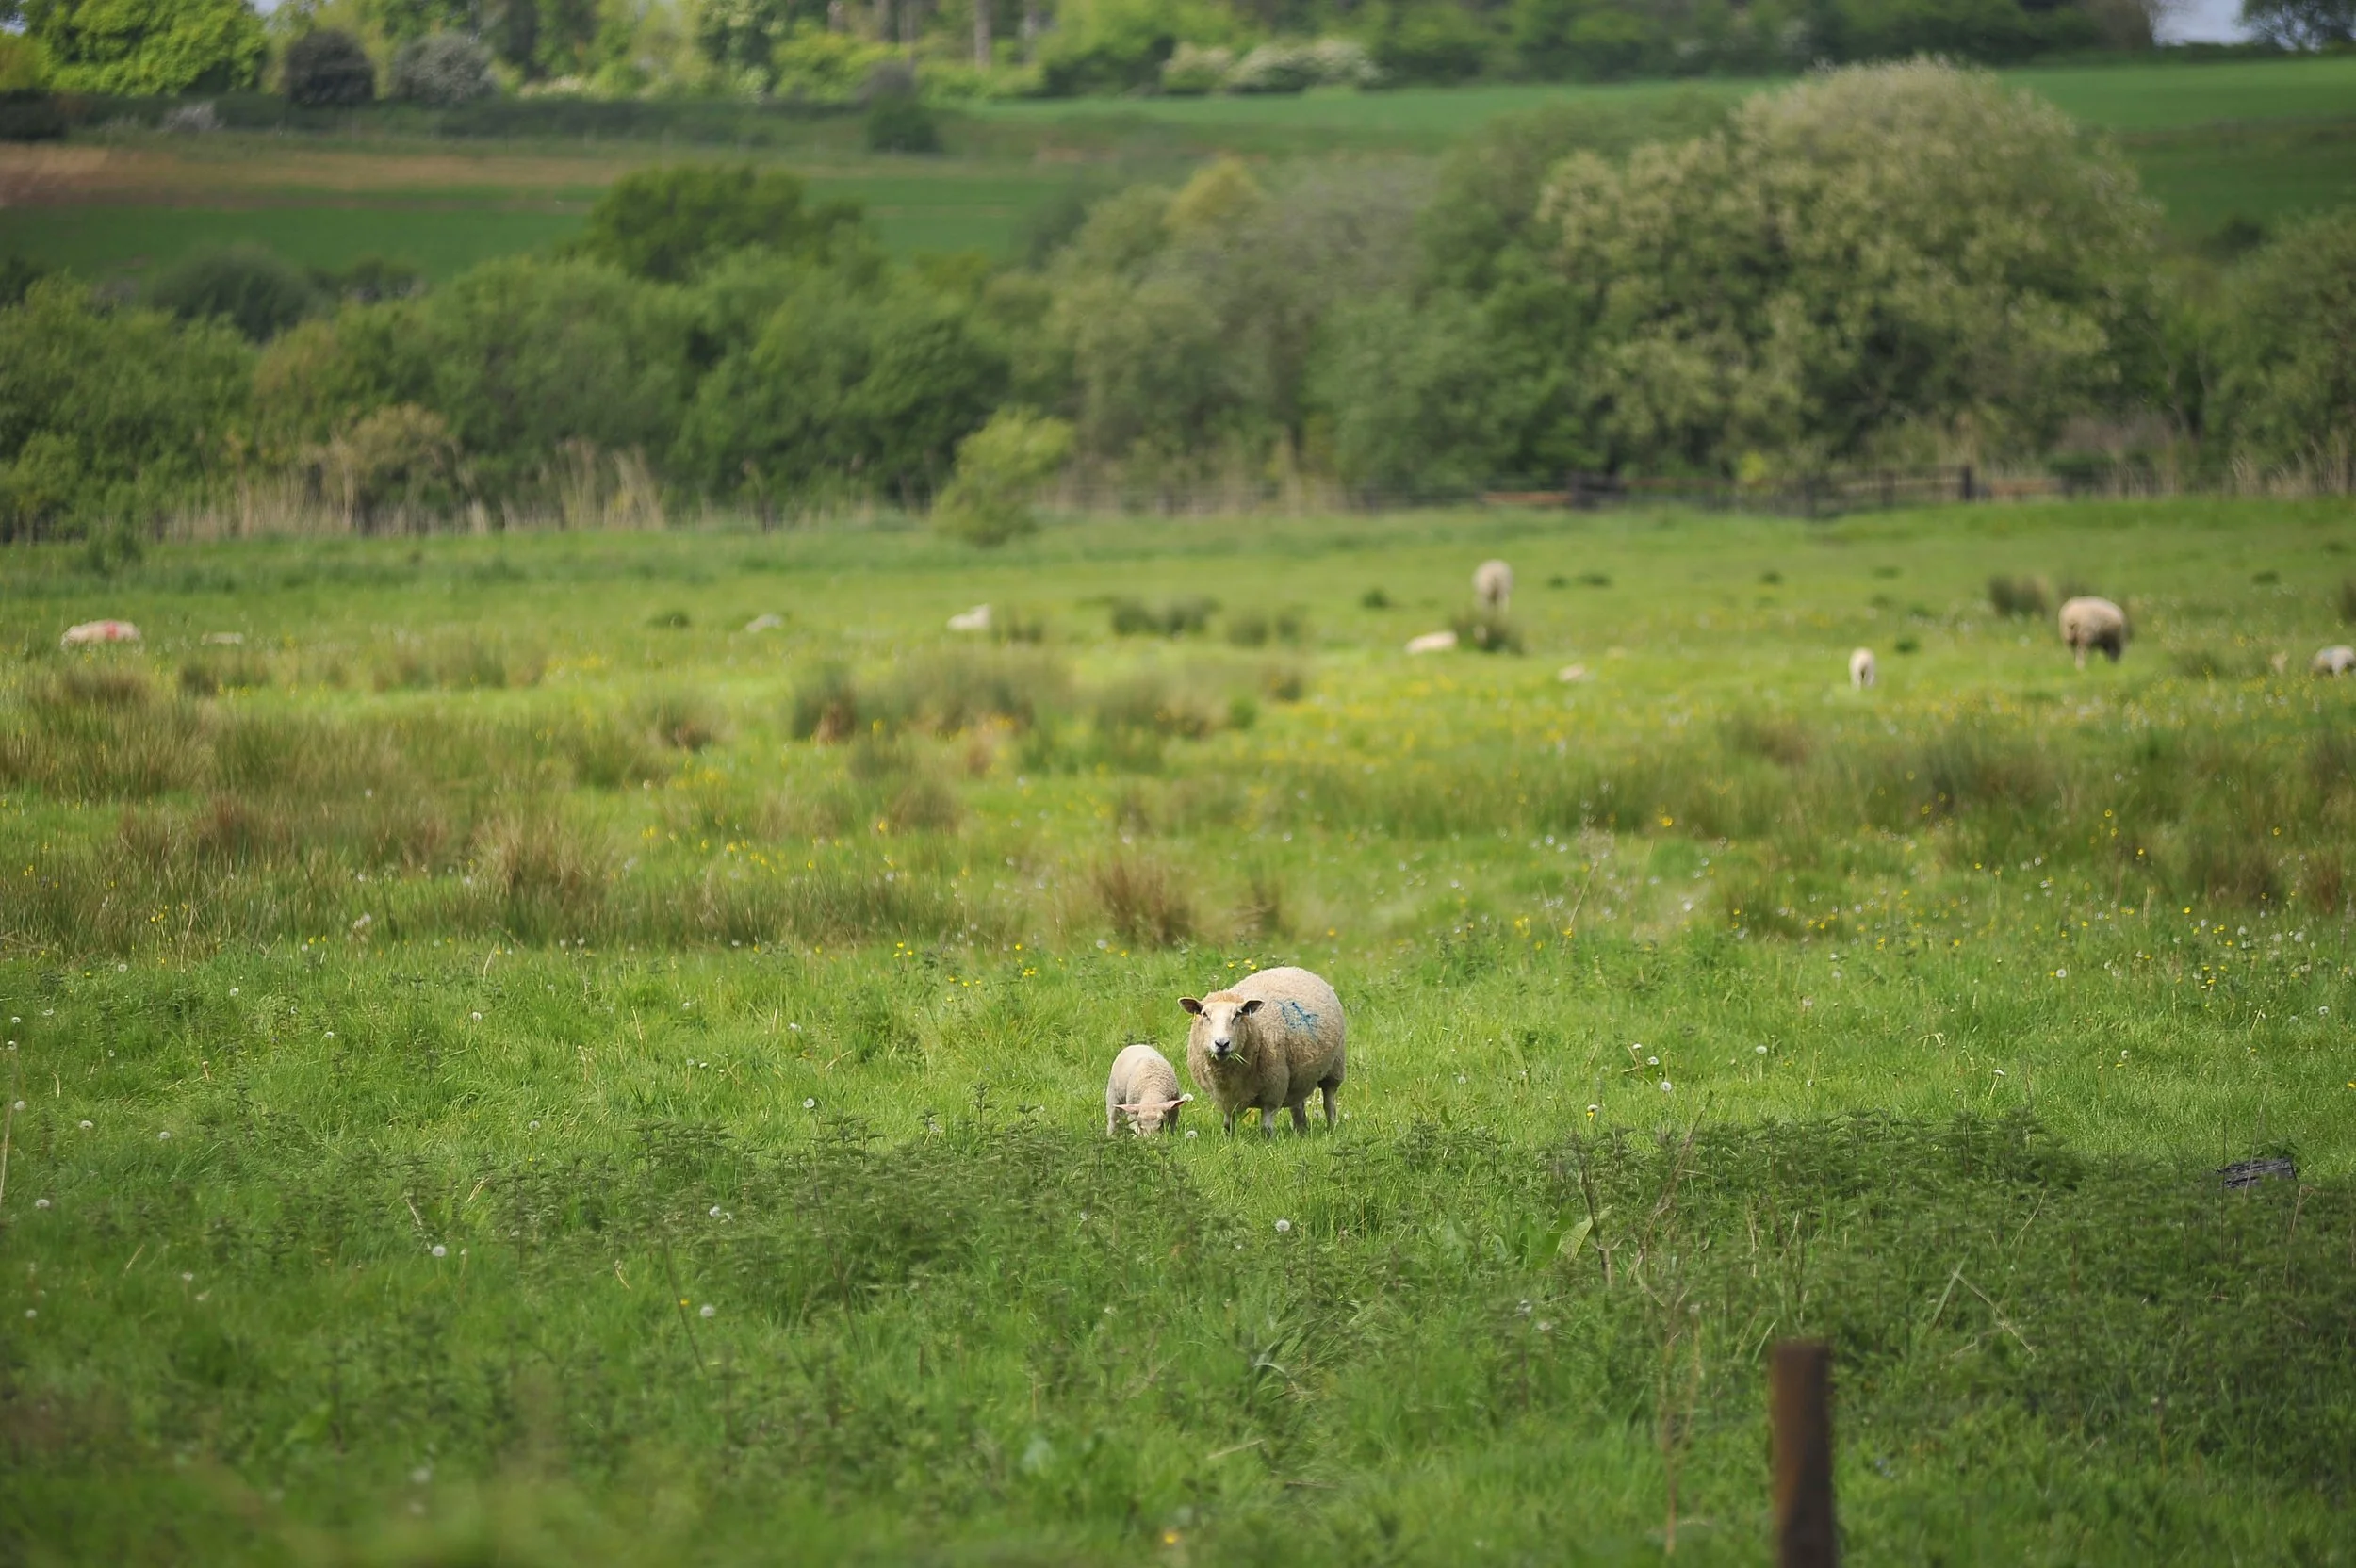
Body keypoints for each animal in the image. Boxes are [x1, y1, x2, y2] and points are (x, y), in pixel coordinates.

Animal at [1181, 965, 1346, 1137]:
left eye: (1238, 1015)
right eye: (1204, 1014)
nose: (1222, 1044)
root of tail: (1294, 968)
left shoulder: (1273, 1090)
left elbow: (1266, 1128)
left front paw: (1267, 1141)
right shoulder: (1225, 1097)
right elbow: (1228, 1124)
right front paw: (1229, 1139)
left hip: (1335, 1067)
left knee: (1329, 1102)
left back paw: (1331, 1129)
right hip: (1298, 1074)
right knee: (1298, 1106)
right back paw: (1300, 1131)